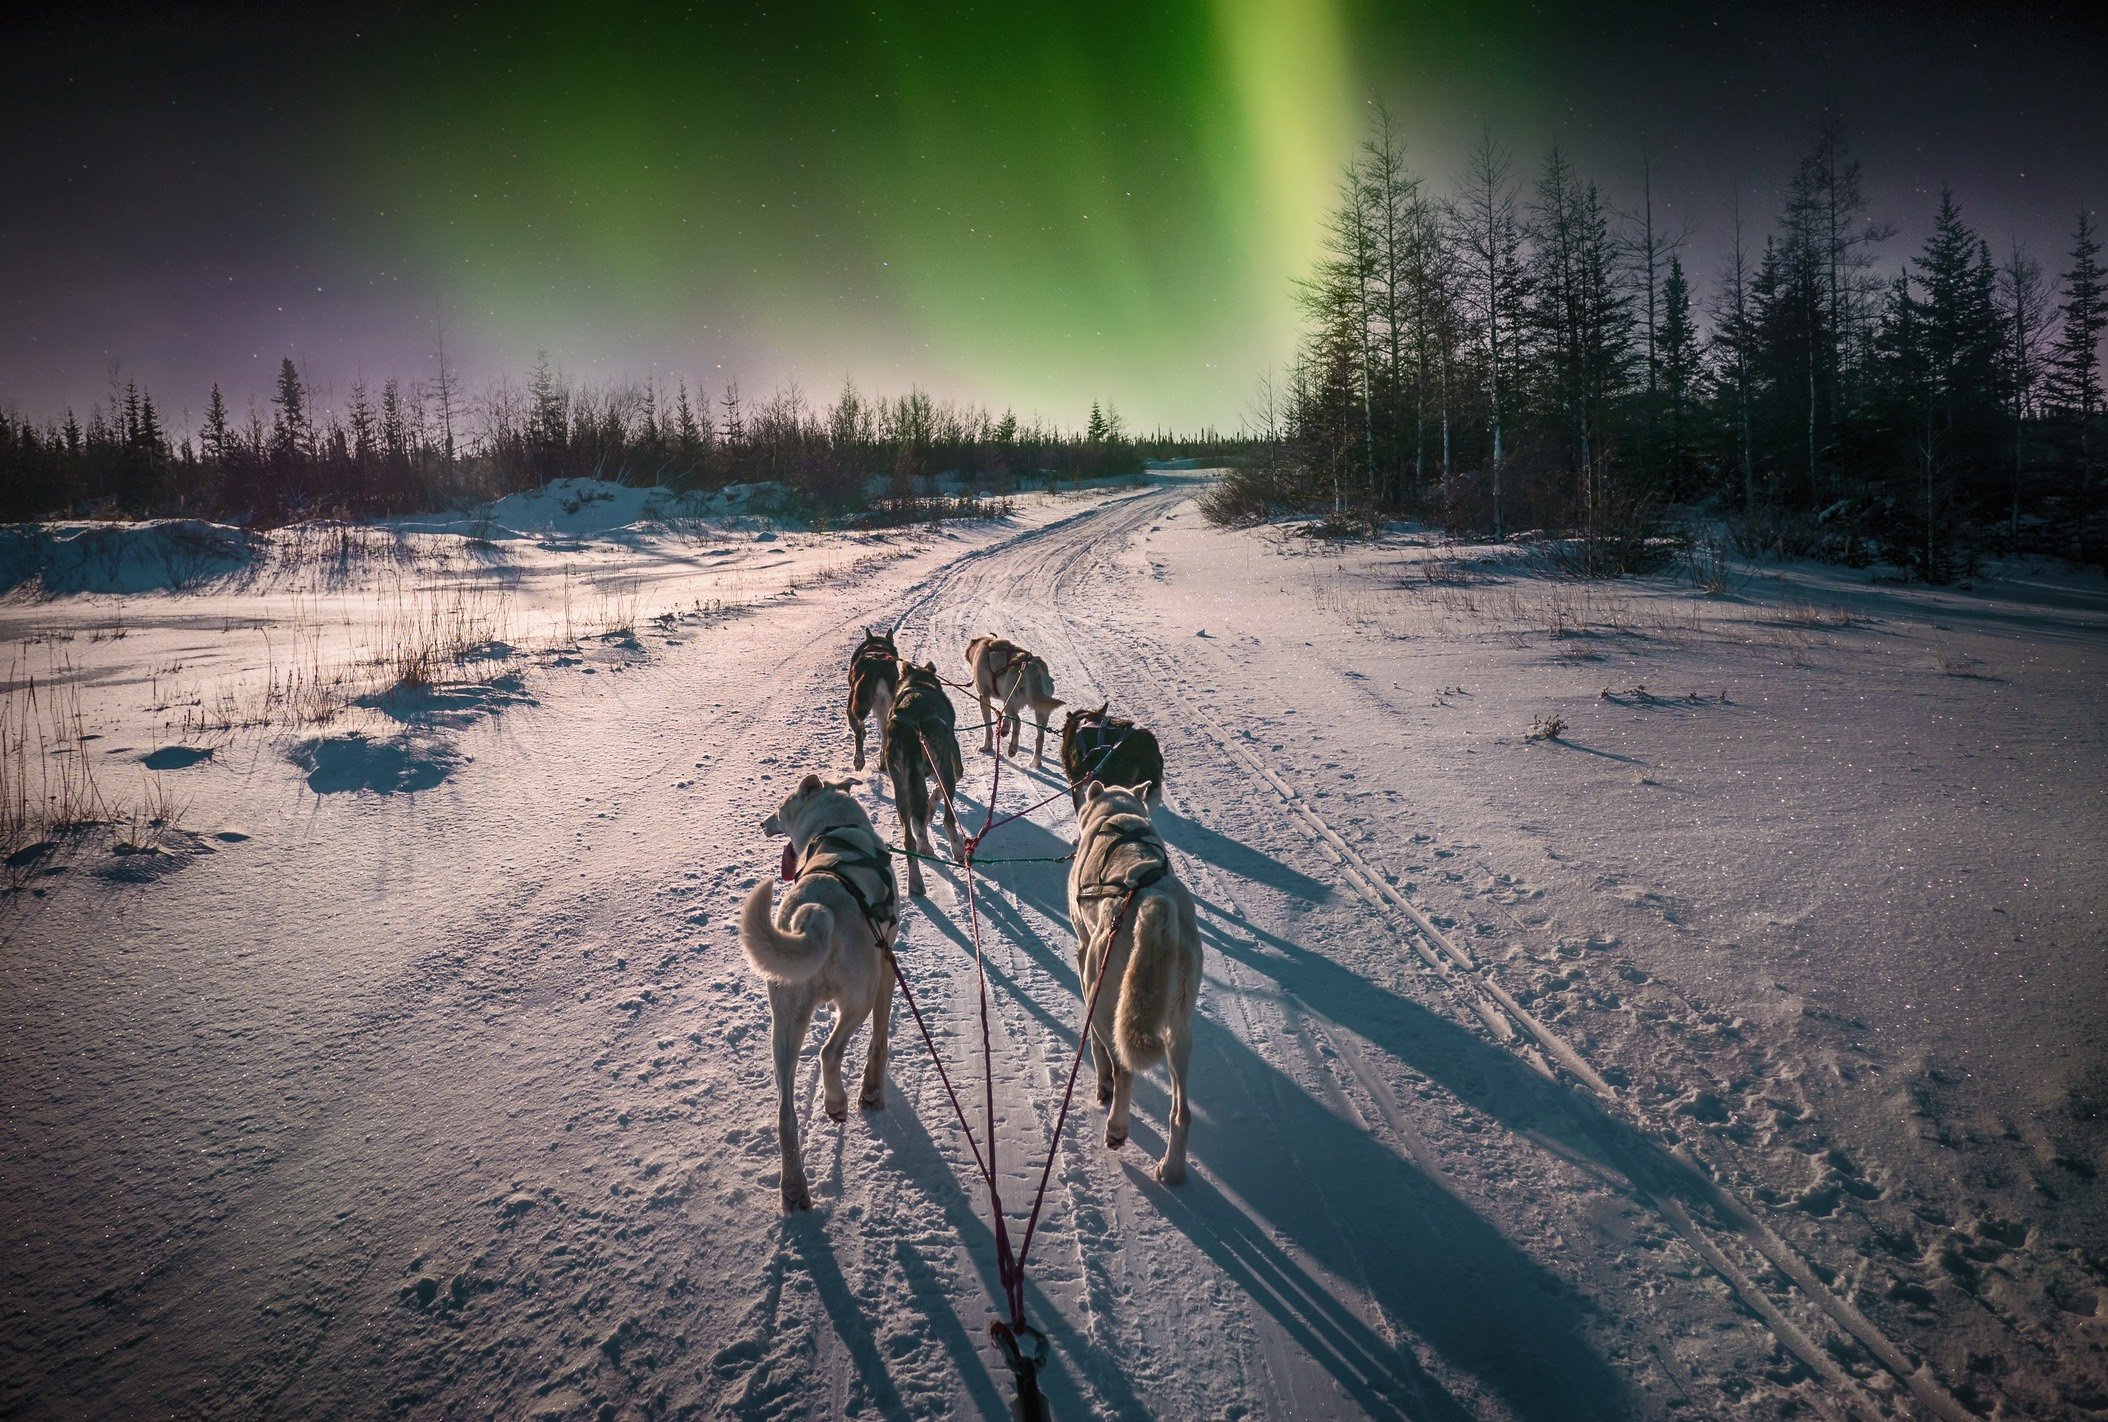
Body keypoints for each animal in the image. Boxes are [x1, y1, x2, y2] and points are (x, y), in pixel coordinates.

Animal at [742, 779, 898, 1213]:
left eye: (780, 809)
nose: (762, 823)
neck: (835, 828)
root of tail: (815, 915)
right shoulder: (886, 969)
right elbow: (880, 1039)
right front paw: (871, 1092)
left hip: (784, 1027)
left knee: (786, 1113)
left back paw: (794, 1188)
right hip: (860, 996)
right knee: (831, 1051)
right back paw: (837, 1103)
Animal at [843, 627, 902, 775]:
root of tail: (878, 666)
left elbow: (860, 730)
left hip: (854, 706)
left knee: (858, 734)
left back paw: (859, 761)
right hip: (886, 710)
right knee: (885, 737)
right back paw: (883, 763)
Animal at [881, 661, 965, 897]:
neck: (919, 683)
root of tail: (913, 726)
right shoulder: (952, 766)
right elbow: (936, 794)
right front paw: (929, 812)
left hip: (901, 788)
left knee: (909, 838)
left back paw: (916, 881)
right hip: (945, 770)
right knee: (948, 820)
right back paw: (957, 849)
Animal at [969, 636, 1070, 766]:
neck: (986, 643)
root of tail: (1033, 668)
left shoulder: (984, 697)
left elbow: (988, 729)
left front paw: (987, 747)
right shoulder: (1007, 700)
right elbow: (1006, 719)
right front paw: (1005, 729)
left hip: (1012, 702)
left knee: (1018, 721)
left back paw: (1012, 748)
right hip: (1041, 711)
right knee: (1040, 737)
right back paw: (1035, 763)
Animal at [1070, 783, 1205, 1188]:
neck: (1119, 813)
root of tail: (1154, 901)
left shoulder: (1083, 957)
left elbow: (1097, 1049)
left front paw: (1102, 1086)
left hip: (1102, 993)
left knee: (1122, 1067)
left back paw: (1116, 1126)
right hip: (1179, 1028)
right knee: (1182, 1112)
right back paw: (1172, 1169)